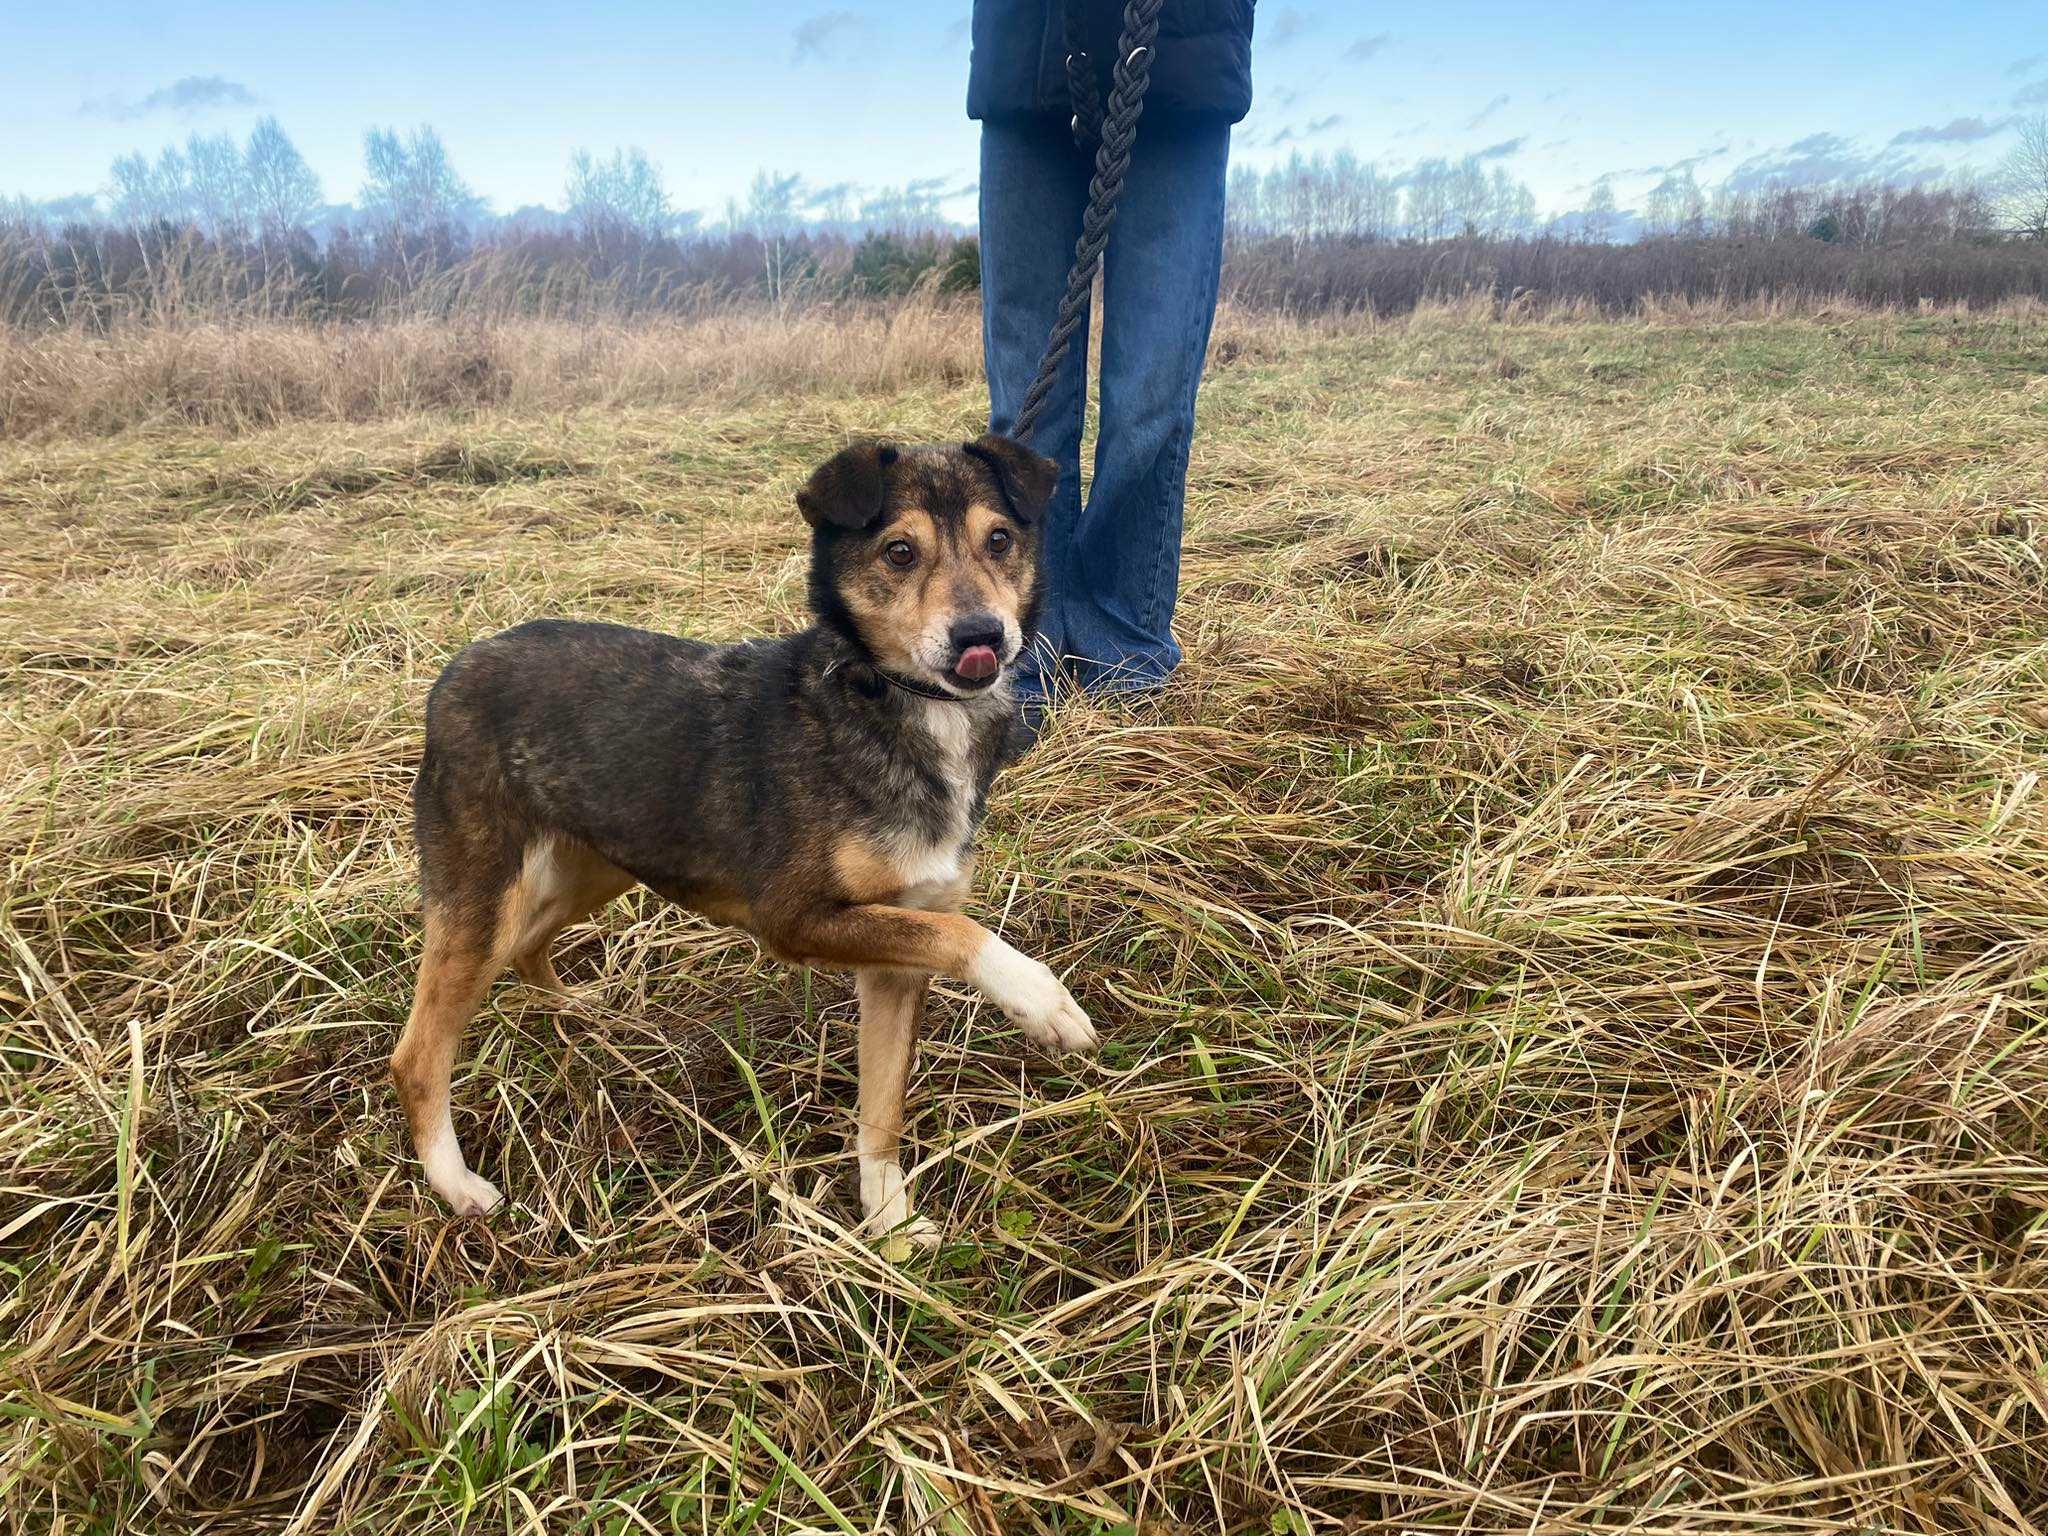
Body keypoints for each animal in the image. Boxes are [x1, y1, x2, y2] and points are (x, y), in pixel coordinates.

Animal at [389, 434, 1097, 1253]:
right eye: (899, 551)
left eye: (1000, 541)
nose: (982, 635)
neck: (885, 700)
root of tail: (458, 664)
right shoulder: (795, 918)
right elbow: (965, 935)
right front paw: (1039, 998)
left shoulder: (894, 958)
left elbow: (881, 1108)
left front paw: (886, 1220)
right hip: (487, 894)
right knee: (419, 1054)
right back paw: (455, 1184)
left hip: (597, 865)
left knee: (531, 946)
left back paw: (585, 1012)